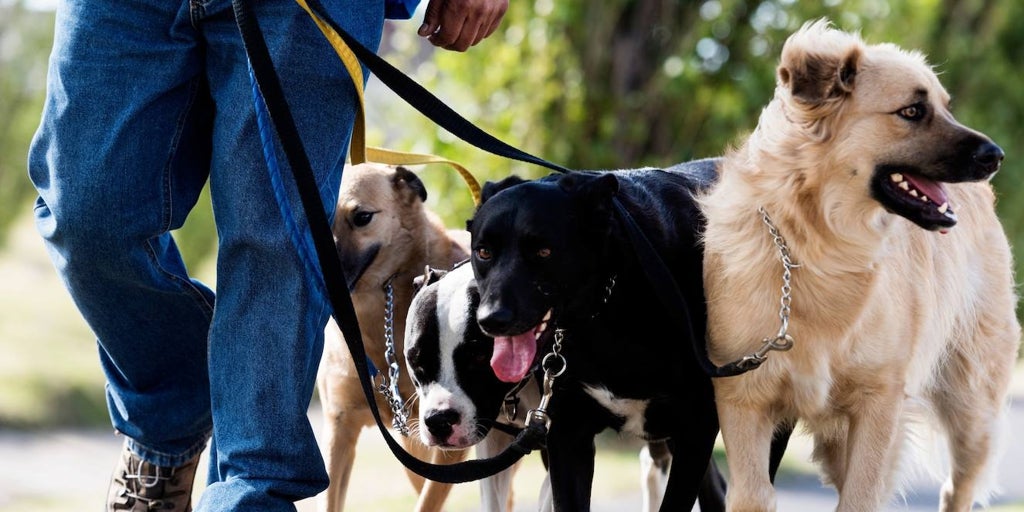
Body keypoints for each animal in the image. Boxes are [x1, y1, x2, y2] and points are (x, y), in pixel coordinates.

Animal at [700, 20, 1019, 512]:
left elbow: (861, 497)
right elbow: (753, 494)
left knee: (958, 487)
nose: (997, 156)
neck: (819, 246)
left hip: (972, 409)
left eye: (945, 107)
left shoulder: (878, 402)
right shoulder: (743, 399)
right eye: (912, 111)